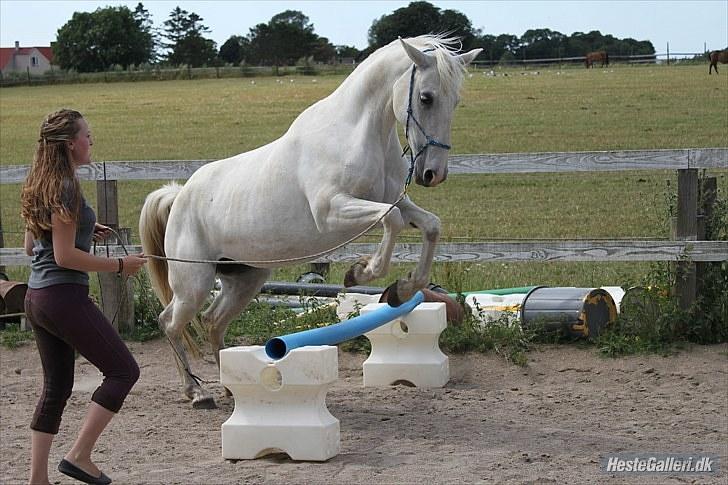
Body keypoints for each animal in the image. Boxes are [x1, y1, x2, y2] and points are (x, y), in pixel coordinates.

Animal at [141, 36, 484, 406]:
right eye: (426, 97)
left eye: (456, 100)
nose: (433, 174)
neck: (358, 133)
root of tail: (179, 195)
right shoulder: (333, 211)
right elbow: (390, 222)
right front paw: (360, 272)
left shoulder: (398, 201)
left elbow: (431, 225)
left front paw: (401, 289)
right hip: (193, 283)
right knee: (171, 322)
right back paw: (197, 392)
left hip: (245, 279)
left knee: (212, 322)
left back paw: (231, 388)